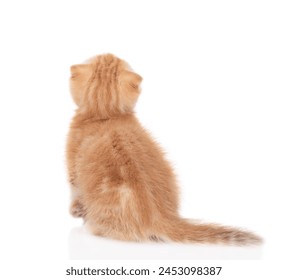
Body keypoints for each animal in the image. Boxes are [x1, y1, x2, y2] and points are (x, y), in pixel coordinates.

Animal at [66, 53, 262, 245]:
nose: (110, 52)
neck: (105, 116)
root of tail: (162, 217)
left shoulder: (73, 168)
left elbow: (75, 193)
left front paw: (75, 211)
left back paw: (91, 226)